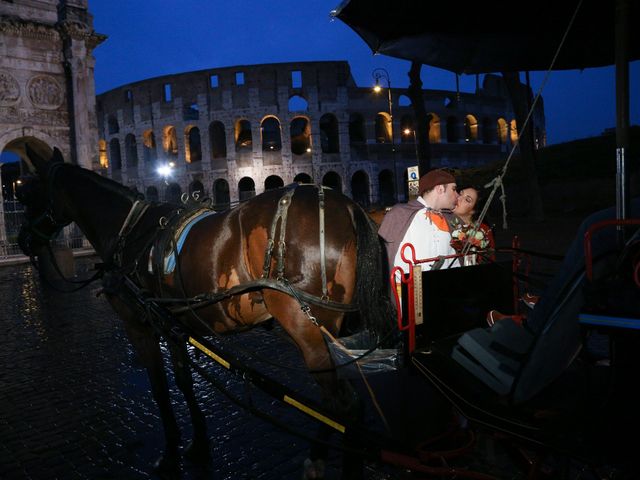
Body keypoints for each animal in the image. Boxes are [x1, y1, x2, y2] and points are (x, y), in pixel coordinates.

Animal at [17, 145, 396, 476]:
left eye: (29, 193)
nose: (22, 241)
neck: (128, 231)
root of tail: (350, 208)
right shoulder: (172, 325)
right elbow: (183, 381)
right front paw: (198, 444)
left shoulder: (139, 325)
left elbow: (159, 388)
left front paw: (170, 452)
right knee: (346, 406)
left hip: (306, 326)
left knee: (342, 405)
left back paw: (318, 461)